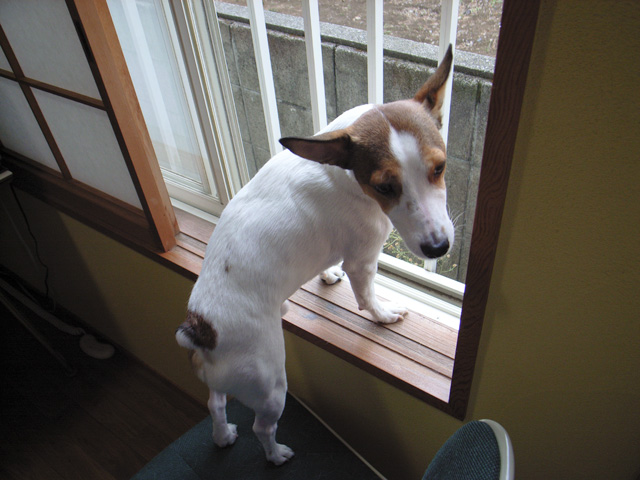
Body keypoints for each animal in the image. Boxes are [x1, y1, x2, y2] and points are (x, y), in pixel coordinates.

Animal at [176, 45, 456, 464]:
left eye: (439, 167)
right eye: (384, 187)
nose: (438, 247)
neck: (342, 175)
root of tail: (201, 329)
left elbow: (329, 266)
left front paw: (327, 275)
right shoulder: (363, 258)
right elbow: (367, 299)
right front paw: (385, 314)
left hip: (223, 383)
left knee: (216, 403)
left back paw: (223, 435)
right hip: (270, 385)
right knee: (262, 426)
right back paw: (276, 454)